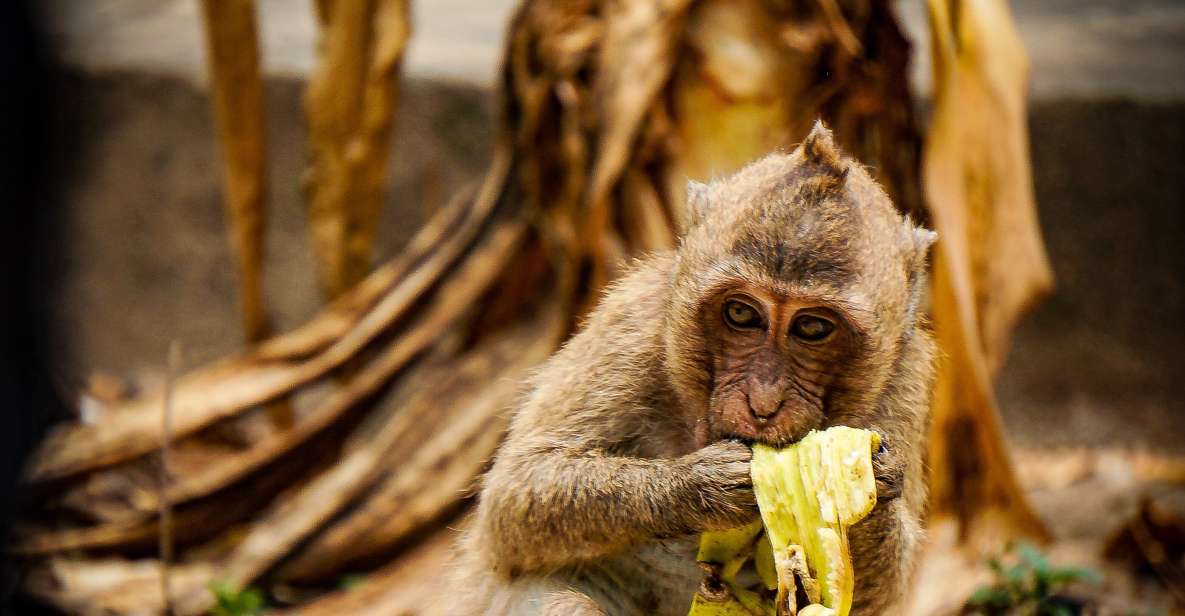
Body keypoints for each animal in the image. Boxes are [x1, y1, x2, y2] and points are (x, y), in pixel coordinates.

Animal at [447, 121, 938, 616]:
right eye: (741, 314)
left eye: (813, 327)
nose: (763, 404)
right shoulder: (633, 325)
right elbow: (515, 495)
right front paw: (697, 486)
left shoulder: (908, 376)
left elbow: (874, 596)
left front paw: (870, 481)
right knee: (563, 602)